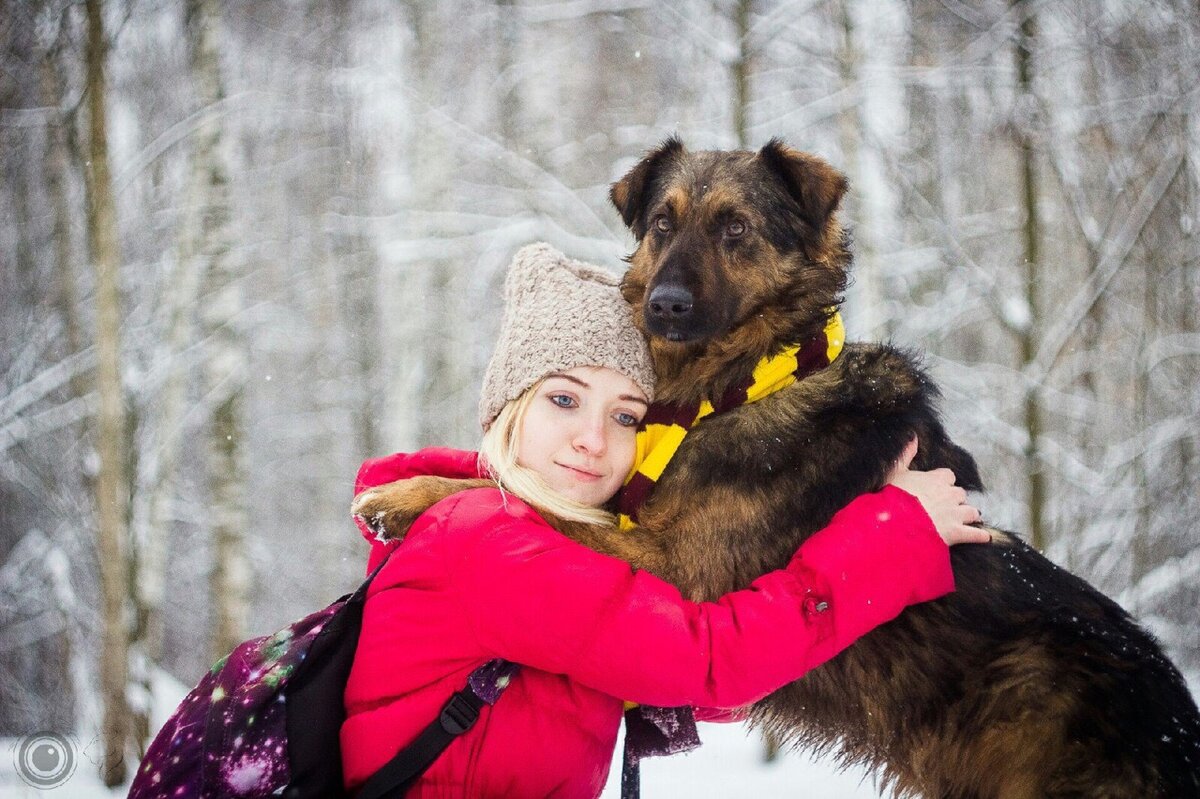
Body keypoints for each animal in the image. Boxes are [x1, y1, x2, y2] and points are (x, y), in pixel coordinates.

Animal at [355, 138, 1200, 796]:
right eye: (663, 222)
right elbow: (520, 492)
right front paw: (408, 486)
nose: (664, 305)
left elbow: (545, 509)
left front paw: (406, 495)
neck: (737, 386)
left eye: (735, 227)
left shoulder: (676, 568)